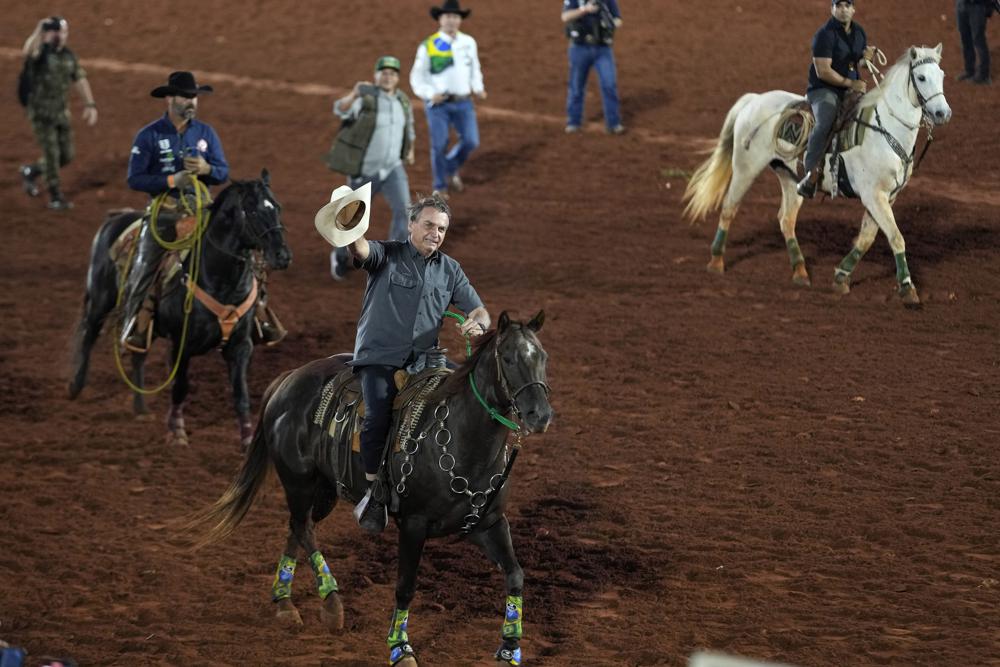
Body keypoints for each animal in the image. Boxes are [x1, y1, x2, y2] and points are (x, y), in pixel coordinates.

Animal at [191, 312, 552, 667]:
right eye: (508, 358)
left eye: (542, 356)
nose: (541, 415)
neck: (463, 438)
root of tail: (289, 379)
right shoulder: (414, 525)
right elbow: (405, 587)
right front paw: (400, 648)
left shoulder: (488, 524)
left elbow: (515, 575)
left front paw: (510, 648)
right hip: (298, 481)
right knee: (303, 528)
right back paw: (331, 602)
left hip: (324, 491)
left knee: (297, 527)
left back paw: (284, 603)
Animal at [688, 45, 952, 306]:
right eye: (921, 77)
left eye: (941, 75)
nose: (943, 113)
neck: (885, 129)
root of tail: (754, 100)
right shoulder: (873, 195)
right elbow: (896, 237)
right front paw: (908, 288)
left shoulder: (888, 196)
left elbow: (866, 238)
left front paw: (841, 277)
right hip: (746, 168)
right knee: (729, 207)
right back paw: (716, 262)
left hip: (790, 177)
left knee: (786, 219)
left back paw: (800, 272)